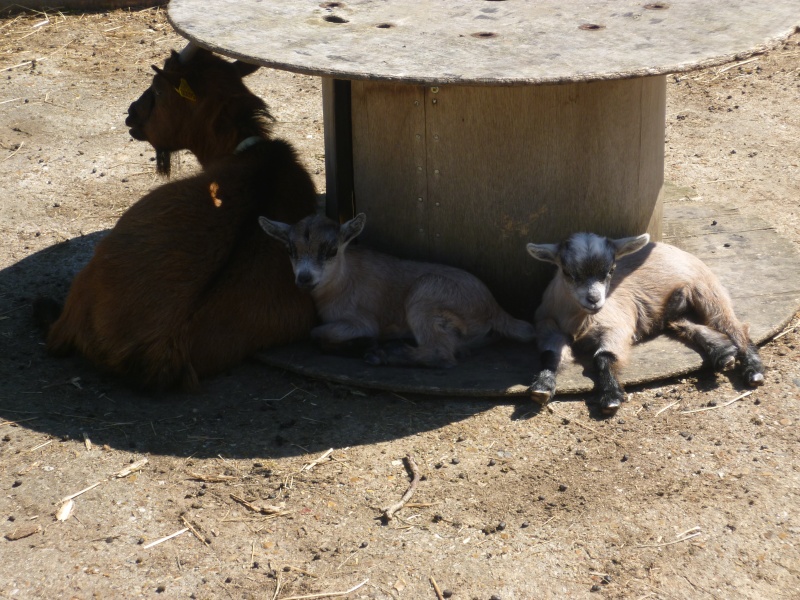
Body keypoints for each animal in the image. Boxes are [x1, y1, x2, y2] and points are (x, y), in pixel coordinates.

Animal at [37, 47, 318, 390]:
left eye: (158, 90)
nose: (131, 114)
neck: (254, 156)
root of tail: (162, 345)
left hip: (86, 281)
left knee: (55, 338)